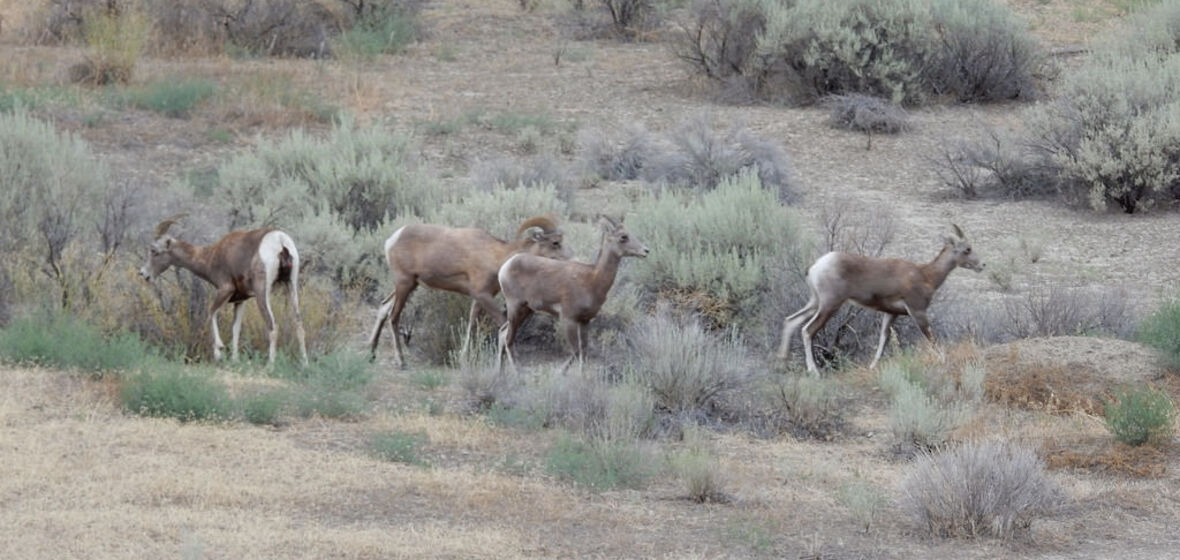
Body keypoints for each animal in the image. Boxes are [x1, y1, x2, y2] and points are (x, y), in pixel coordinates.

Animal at [138, 215, 309, 367]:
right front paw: (234, 360)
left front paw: (218, 352)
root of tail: (280, 240)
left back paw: (270, 365)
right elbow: (235, 329)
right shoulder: (240, 300)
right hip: (291, 286)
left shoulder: (225, 290)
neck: (212, 255)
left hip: (262, 293)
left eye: (154, 250)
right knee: (299, 324)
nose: (144, 274)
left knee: (273, 326)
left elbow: (211, 312)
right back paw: (304, 364)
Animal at [370, 214, 568, 367]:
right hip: (404, 284)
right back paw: (401, 362)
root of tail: (392, 240)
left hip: (410, 285)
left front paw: (463, 358)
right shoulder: (483, 296)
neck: (497, 256)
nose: (568, 260)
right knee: (393, 317)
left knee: (383, 307)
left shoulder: (479, 299)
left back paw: (371, 353)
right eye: (555, 242)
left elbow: (471, 324)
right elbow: (504, 324)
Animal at [495, 216, 651, 374]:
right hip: (515, 308)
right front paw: (560, 373)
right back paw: (517, 373)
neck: (592, 280)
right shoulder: (568, 320)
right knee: (508, 339)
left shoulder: (584, 321)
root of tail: (506, 266)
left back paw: (500, 373)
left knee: (503, 333)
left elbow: (583, 350)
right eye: (623, 237)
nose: (646, 251)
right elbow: (575, 352)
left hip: (526, 311)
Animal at [778, 225, 981, 377]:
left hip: (815, 303)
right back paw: (814, 372)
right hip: (829, 305)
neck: (926, 275)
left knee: (791, 321)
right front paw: (943, 360)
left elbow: (883, 340)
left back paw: (782, 362)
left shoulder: (890, 314)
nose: (982, 265)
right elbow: (931, 337)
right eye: (967, 249)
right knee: (807, 330)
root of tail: (816, 266)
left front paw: (872, 367)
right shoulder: (917, 312)